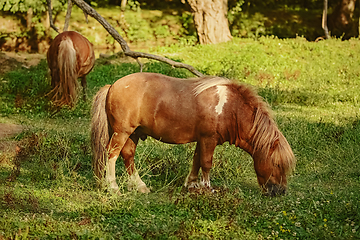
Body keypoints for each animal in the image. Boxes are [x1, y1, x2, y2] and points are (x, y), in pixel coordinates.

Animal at [90, 72, 296, 196]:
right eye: (277, 164)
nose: (280, 192)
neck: (231, 108)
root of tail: (112, 86)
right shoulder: (209, 139)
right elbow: (206, 163)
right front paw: (207, 188)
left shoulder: (202, 140)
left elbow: (196, 161)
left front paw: (191, 184)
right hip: (122, 132)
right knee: (112, 155)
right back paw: (113, 187)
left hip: (133, 133)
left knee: (128, 156)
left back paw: (139, 186)